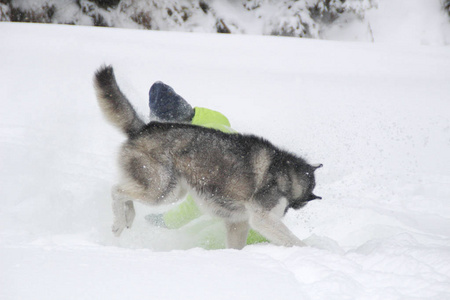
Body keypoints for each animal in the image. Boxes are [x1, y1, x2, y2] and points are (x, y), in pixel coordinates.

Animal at [93, 65, 322, 248]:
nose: (287, 212)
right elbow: (294, 241)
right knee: (116, 190)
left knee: (125, 193)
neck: (288, 173)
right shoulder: (262, 218)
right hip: (163, 190)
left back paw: (128, 217)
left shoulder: (237, 222)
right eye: (303, 203)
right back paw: (119, 222)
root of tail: (145, 128)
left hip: (168, 190)